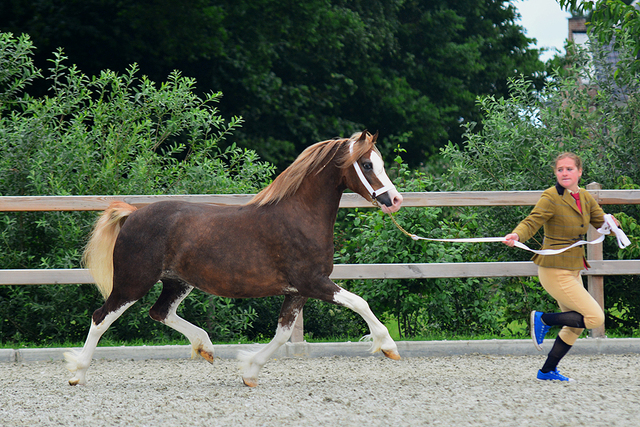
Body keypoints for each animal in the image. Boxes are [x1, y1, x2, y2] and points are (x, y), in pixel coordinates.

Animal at [66, 131, 404, 388]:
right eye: (367, 164)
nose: (394, 200)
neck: (299, 216)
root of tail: (133, 215)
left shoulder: (298, 291)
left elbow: (282, 334)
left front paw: (250, 371)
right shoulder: (314, 282)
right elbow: (360, 302)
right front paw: (388, 346)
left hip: (177, 282)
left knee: (160, 312)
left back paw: (205, 347)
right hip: (133, 282)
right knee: (101, 317)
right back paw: (77, 373)